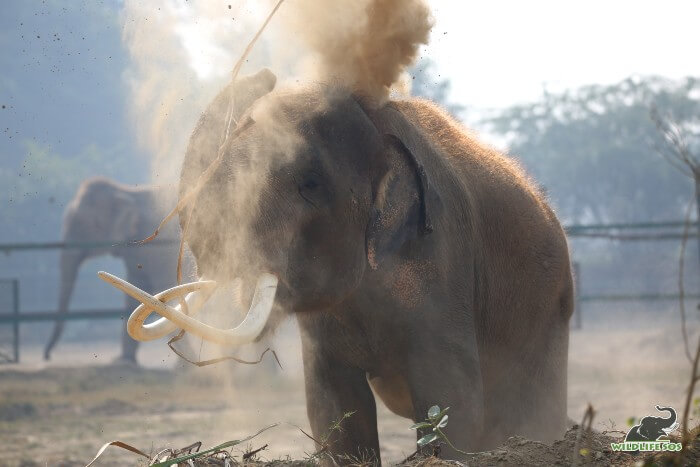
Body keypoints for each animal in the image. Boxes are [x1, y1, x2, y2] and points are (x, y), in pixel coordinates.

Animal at [43, 177, 180, 364]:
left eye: (81, 225)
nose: (47, 357)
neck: (125, 191)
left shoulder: (158, 250)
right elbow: (136, 291)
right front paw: (123, 362)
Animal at [104, 69, 576, 464]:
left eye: (310, 184)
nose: (265, 76)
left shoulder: (440, 260)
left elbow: (452, 397)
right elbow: (333, 405)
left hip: (552, 311)